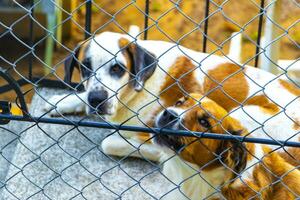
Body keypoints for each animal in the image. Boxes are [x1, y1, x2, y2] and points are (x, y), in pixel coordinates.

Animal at [43, 30, 298, 162]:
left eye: (117, 68)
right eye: (85, 67)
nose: (97, 101)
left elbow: (110, 143)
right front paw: (60, 101)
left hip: (242, 112)